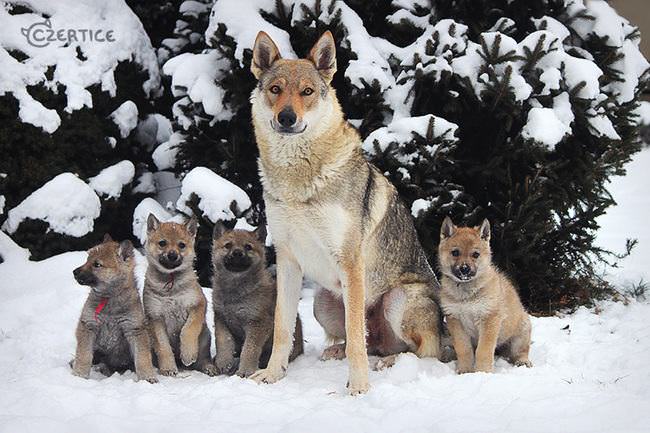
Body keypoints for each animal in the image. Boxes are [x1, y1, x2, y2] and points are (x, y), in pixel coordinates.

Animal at [71, 233, 158, 382]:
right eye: (87, 259)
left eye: (97, 264)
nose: (74, 272)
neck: (109, 298)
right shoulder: (88, 325)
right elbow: (84, 354)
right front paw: (79, 375)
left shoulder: (134, 329)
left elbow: (142, 357)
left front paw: (147, 377)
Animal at [142, 214, 215, 376]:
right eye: (162, 243)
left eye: (181, 245)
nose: (172, 255)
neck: (171, 282)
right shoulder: (155, 317)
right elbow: (163, 347)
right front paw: (168, 368)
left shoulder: (197, 304)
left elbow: (188, 330)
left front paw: (187, 354)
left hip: (205, 336)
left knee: (202, 359)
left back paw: (208, 367)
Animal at [211, 223, 306, 374]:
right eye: (228, 245)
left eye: (248, 247)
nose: (237, 253)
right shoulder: (221, 319)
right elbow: (223, 343)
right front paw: (223, 363)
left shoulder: (258, 323)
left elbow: (250, 349)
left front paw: (245, 370)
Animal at [248, 31, 440, 394]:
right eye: (276, 89)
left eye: (307, 92)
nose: (286, 118)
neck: (298, 180)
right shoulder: (287, 259)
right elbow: (282, 328)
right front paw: (272, 375)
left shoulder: (350, 262)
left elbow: (356, 339)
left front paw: (359, 387)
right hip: (322, 303)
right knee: (368, 340)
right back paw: (337, 352)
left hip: (398, 299)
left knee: (422, 352)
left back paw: (391, 363)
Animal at [436, 218, 532, 372]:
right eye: (455, 252)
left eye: (476, 254)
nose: (464, 269)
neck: (467, 293)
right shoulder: (455, 321)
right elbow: (463, 348)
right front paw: (465, 370)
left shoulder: (489, 318)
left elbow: (483, 350)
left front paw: (482, 371)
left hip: (521, 332)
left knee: (521, 351)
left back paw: (523, 361)